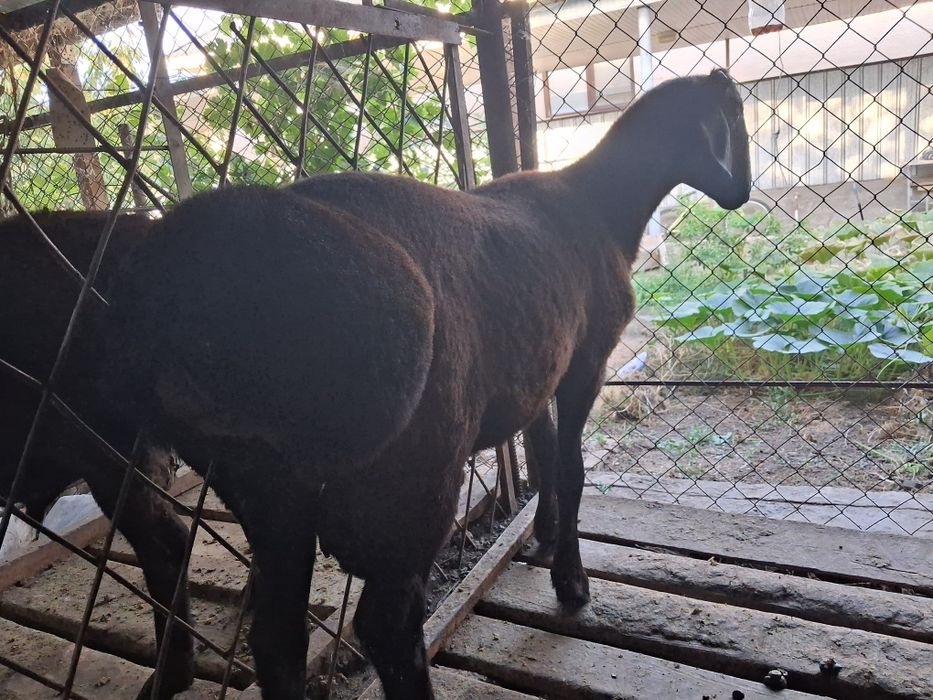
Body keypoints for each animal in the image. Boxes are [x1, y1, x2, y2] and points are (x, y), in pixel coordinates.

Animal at [101, 69, 751, 699]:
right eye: (733, 116)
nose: (741, 194)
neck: (602, 205)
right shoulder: (586, 359)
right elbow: (569, 468)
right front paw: (571, 581)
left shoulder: (540, 362)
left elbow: (541, 450)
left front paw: (541, 538)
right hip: (411, 475)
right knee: (387, 626)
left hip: (266, 488)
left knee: (278, 643)